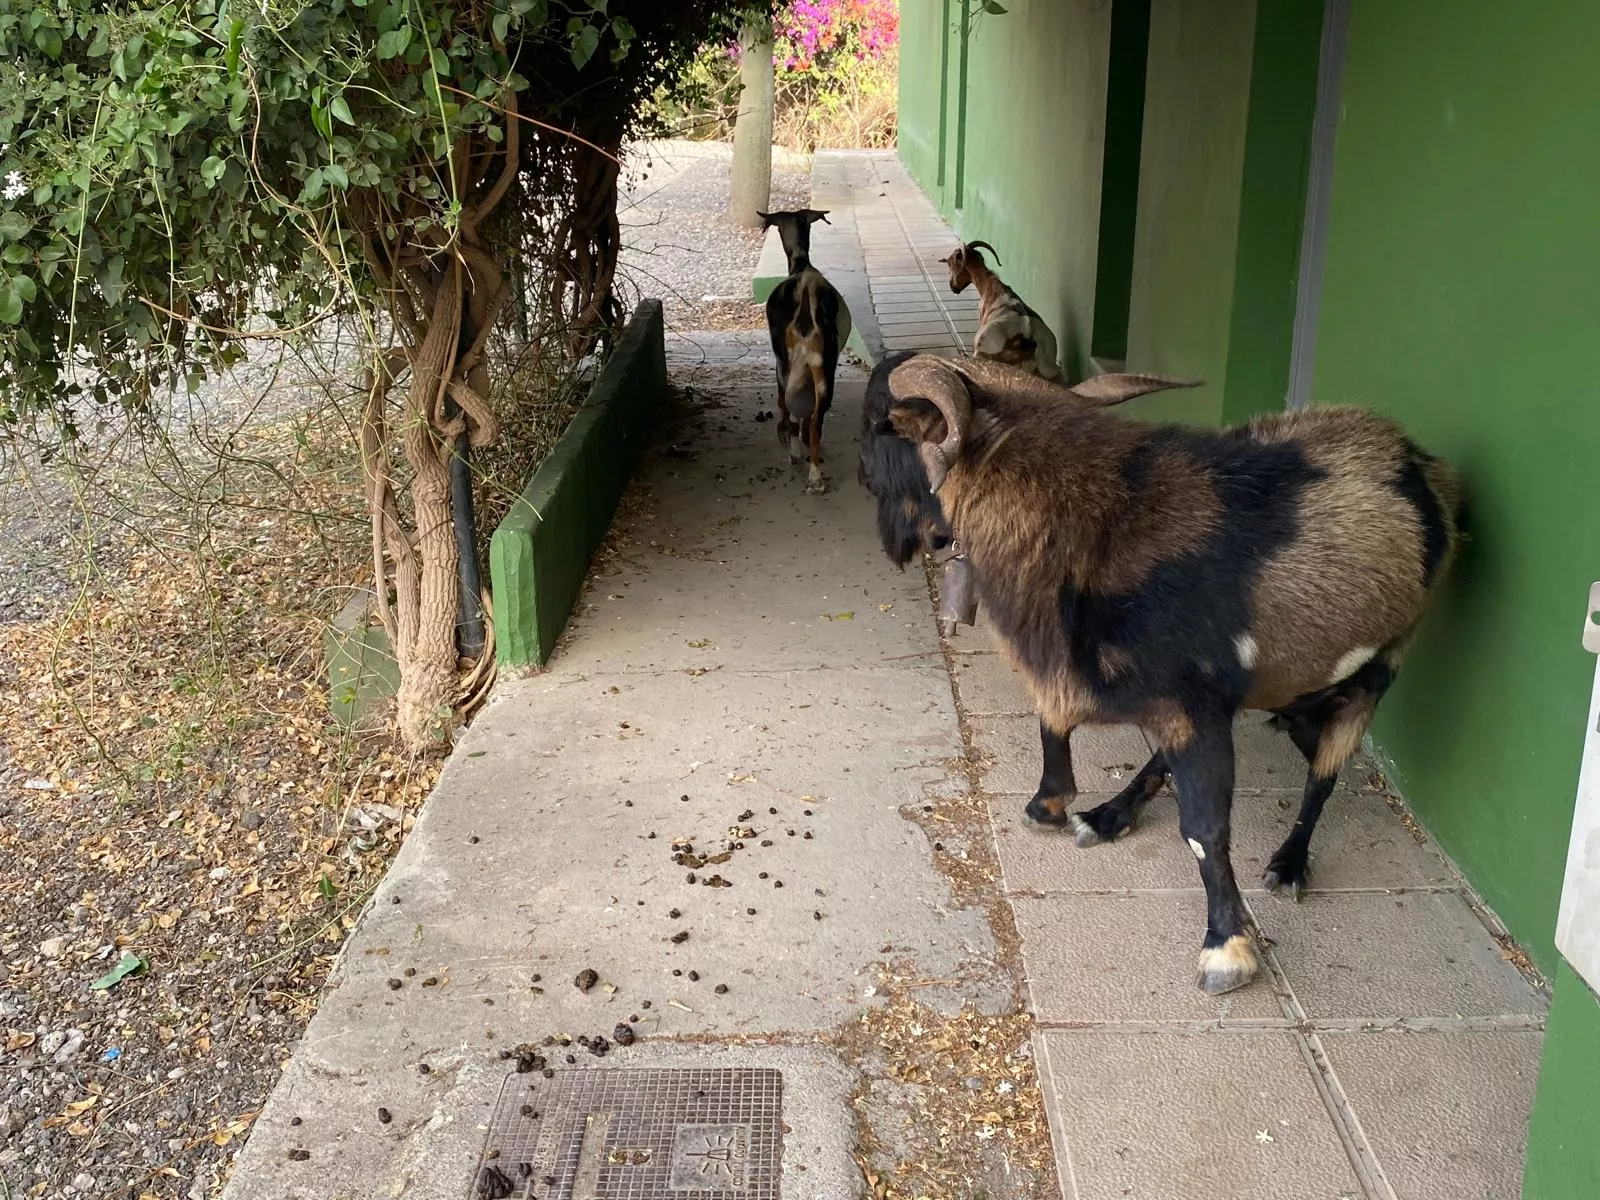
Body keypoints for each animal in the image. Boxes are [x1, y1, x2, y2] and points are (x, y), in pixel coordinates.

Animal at [760, 209, 853, 493]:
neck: (802, 264)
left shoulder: (779, 363)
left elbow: (784, 404)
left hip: (787, 364)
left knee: (792, 410)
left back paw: (797, 456)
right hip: (823, 370)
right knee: (815, 418)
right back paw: (815, 476)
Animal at [866, 354, 1462, 995]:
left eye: (883, 425)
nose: (889, 529)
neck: (1098, 522)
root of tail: (1419, 458)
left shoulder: (1195, 706)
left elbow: (1203, 829)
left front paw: (1226, 952)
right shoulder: (1124, 686)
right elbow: (1054, 725)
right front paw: (1050, 807)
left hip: (1379, 668)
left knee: (1324, 771)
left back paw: (1288, 863)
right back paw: (1110, 815)